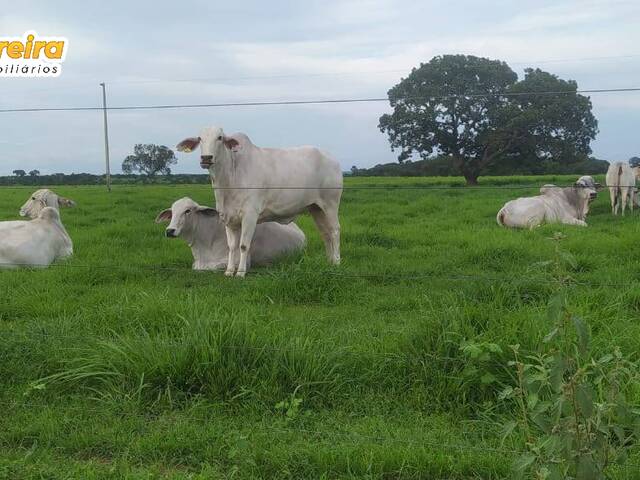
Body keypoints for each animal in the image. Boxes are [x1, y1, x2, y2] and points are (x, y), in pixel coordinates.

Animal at [175, 127, 342, 278]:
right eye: (200, 138)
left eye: (220, 137)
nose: (206, 158)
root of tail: (331, 158)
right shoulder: (228, 218)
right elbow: (232, 247)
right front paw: (229, 271)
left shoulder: (250, 215)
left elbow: (243, 245)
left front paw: (240, 272)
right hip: (316, 208)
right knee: (325, 233)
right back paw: (329, 261)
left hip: (331, 204)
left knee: (334, 230)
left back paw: (337, 262)